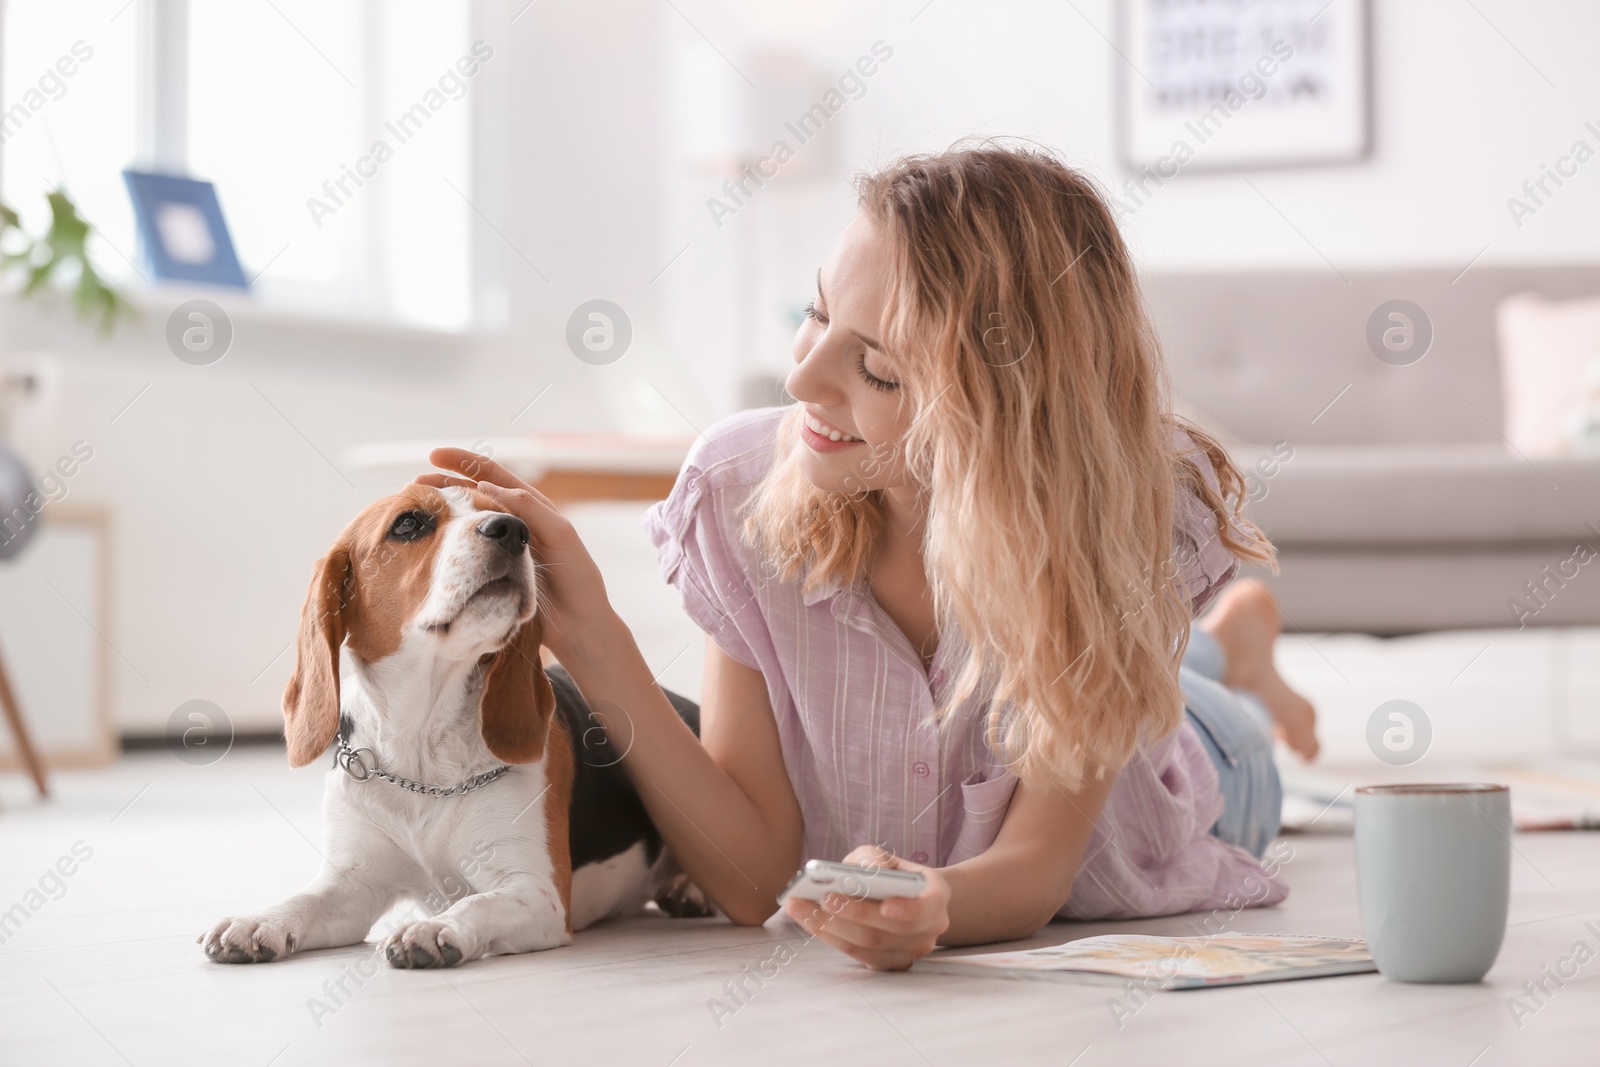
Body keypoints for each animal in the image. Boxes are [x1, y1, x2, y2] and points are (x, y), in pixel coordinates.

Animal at [196, 489, 704, 972]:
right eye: (408, 524)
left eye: (516, 519)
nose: (512, 529)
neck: (421, 749)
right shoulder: (353, 884)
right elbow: (305, 899)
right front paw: (258, 921)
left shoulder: (538, 892)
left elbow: (477, 903)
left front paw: (435, 929)